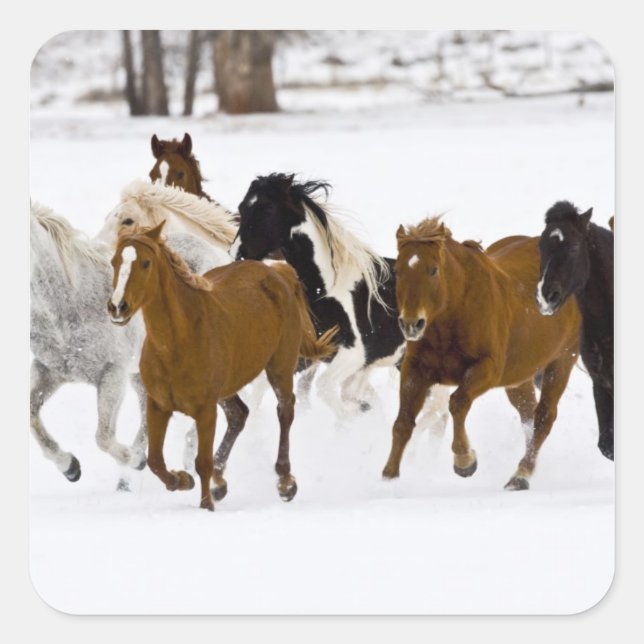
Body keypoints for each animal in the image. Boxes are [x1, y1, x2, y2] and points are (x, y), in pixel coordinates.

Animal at [30, 202, 147, 482]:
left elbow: (103, 436)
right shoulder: (48, 371)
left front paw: (135, 459)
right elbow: (31, 416)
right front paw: (69, 467)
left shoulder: (112, 374)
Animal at [108, 222, 337, 511]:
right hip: (228, 388)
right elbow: (155, 461)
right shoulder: (158, 405)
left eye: (146, 263)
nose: (117, 307)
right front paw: (182, 480)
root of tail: (278, 272)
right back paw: (220, 482)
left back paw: (285, 483)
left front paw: (206, 505)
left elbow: (201, 463)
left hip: (280, 367)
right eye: (114, 261)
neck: (178, 341)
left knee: (285, 411)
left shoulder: (205, 409)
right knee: (239, 415)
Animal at [230, 172, 451, 427]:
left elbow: (326, 389)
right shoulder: (310, 357)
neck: (325, 290)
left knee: (438, 410)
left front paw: (352, 419)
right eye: (242, 207)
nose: (237, 254)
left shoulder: (353, 356)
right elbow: (262, 390)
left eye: (267, 210)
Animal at [382, 217, 582, 490]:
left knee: (544, 418)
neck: (455, 311)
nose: (411, 324)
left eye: (433, 270)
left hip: (561, 361)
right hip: (519, 377)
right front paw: (389, 477)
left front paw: (465, 460)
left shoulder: (487, 369)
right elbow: (403, 422)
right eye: (398, 270)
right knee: (528, 415)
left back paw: (521, 475)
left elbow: (457, 403)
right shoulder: (415, 370)